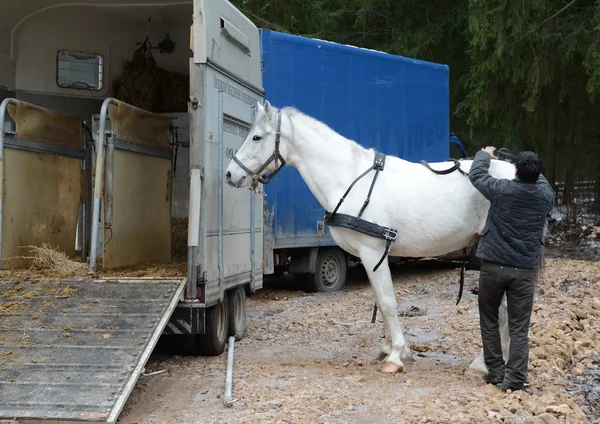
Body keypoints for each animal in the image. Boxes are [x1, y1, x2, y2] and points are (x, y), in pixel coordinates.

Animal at [225, 101, 516, 372]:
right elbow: (379, 297)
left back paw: (483, 363)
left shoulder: (372, 251)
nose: (230, 173)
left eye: (256, 137)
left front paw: (396, 355)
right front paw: (389, 348)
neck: (350, 177)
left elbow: (387, 302)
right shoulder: (371, 258)